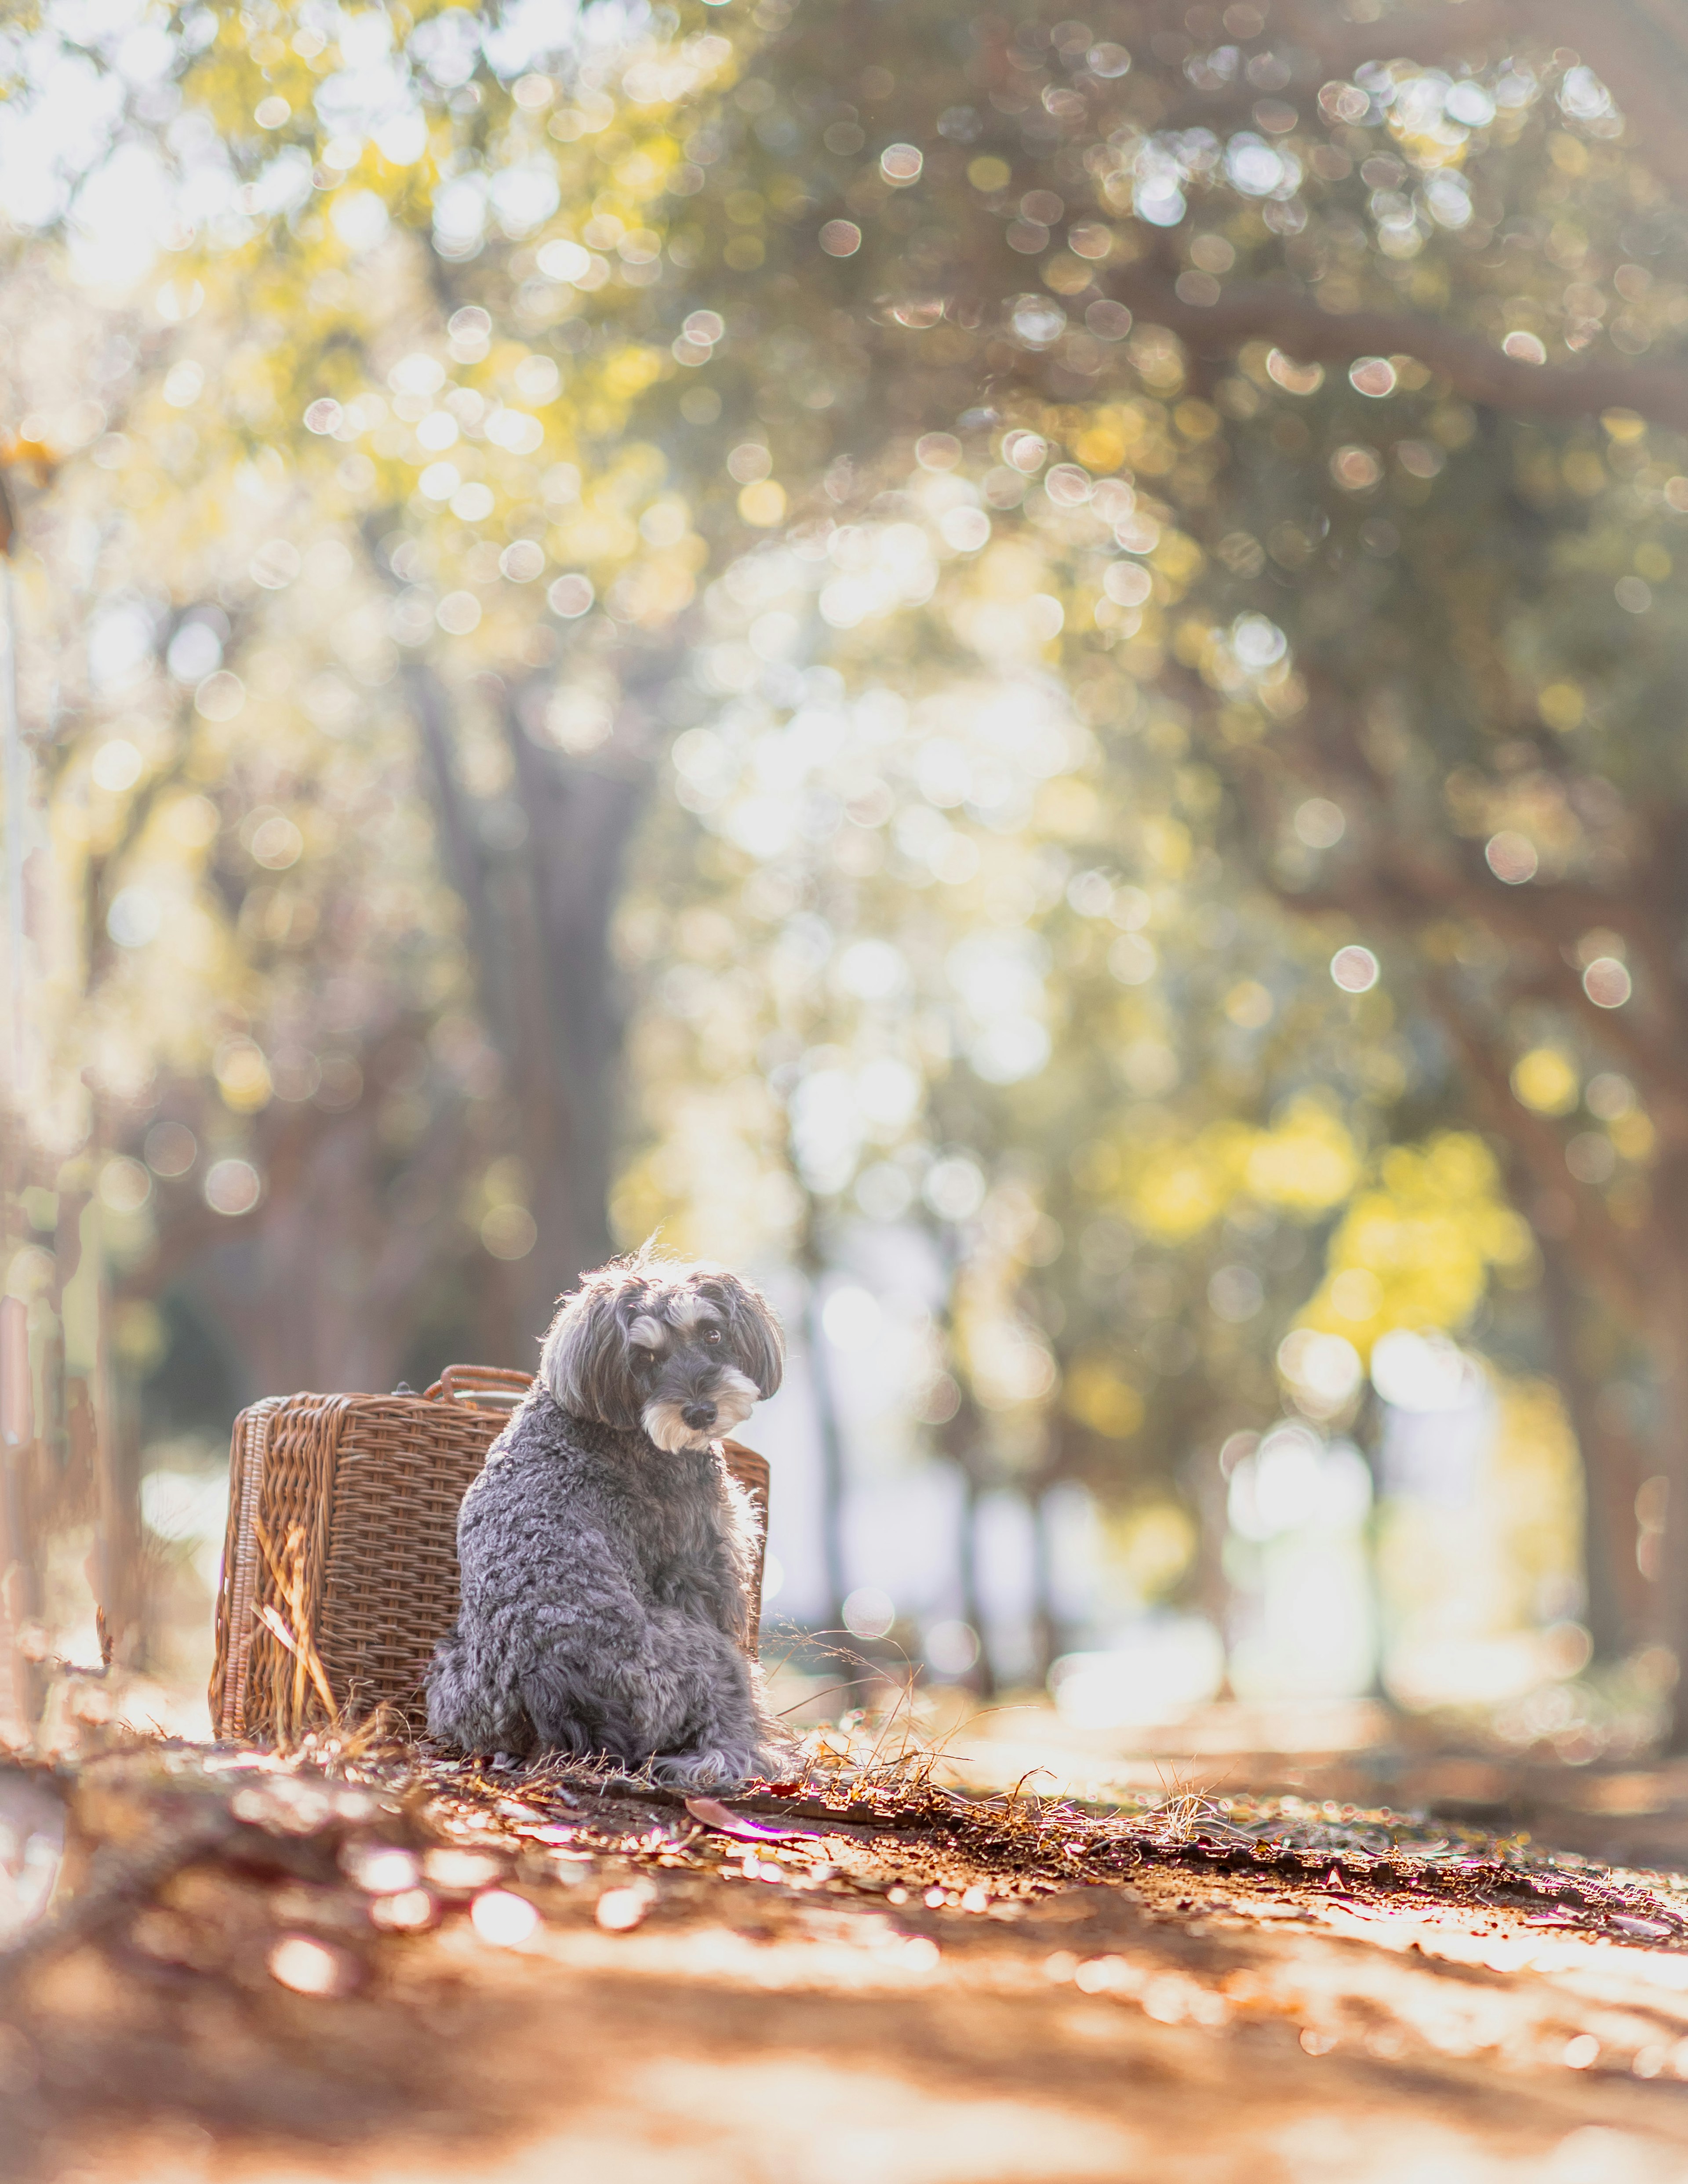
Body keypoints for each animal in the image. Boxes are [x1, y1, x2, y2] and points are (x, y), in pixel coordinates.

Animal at [428, 1258, 782, 1782]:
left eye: (713, 1333)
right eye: (645, 1357)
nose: (701, 1412)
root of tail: (548, 1681)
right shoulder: (704, 1567)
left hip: (449, 1672)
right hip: (705, 1653)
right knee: (726, 1721)